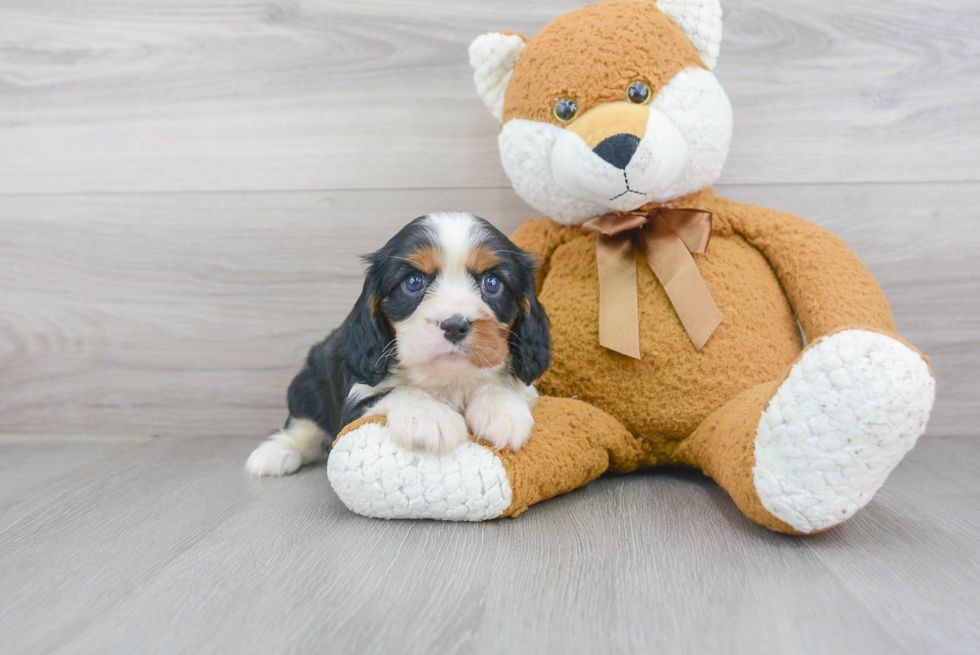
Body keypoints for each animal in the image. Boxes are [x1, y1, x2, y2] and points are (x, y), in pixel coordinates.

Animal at [245, 213, 552, 480]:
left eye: (492, 282)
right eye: (414, 282)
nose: (454, 325)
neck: (447, 378)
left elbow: (504, 385)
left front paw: (502, 411)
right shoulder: (356, 398)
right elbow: (396, 391)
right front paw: (430, 418)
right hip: (307, 382)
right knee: (303, 426)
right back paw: (275, 452)